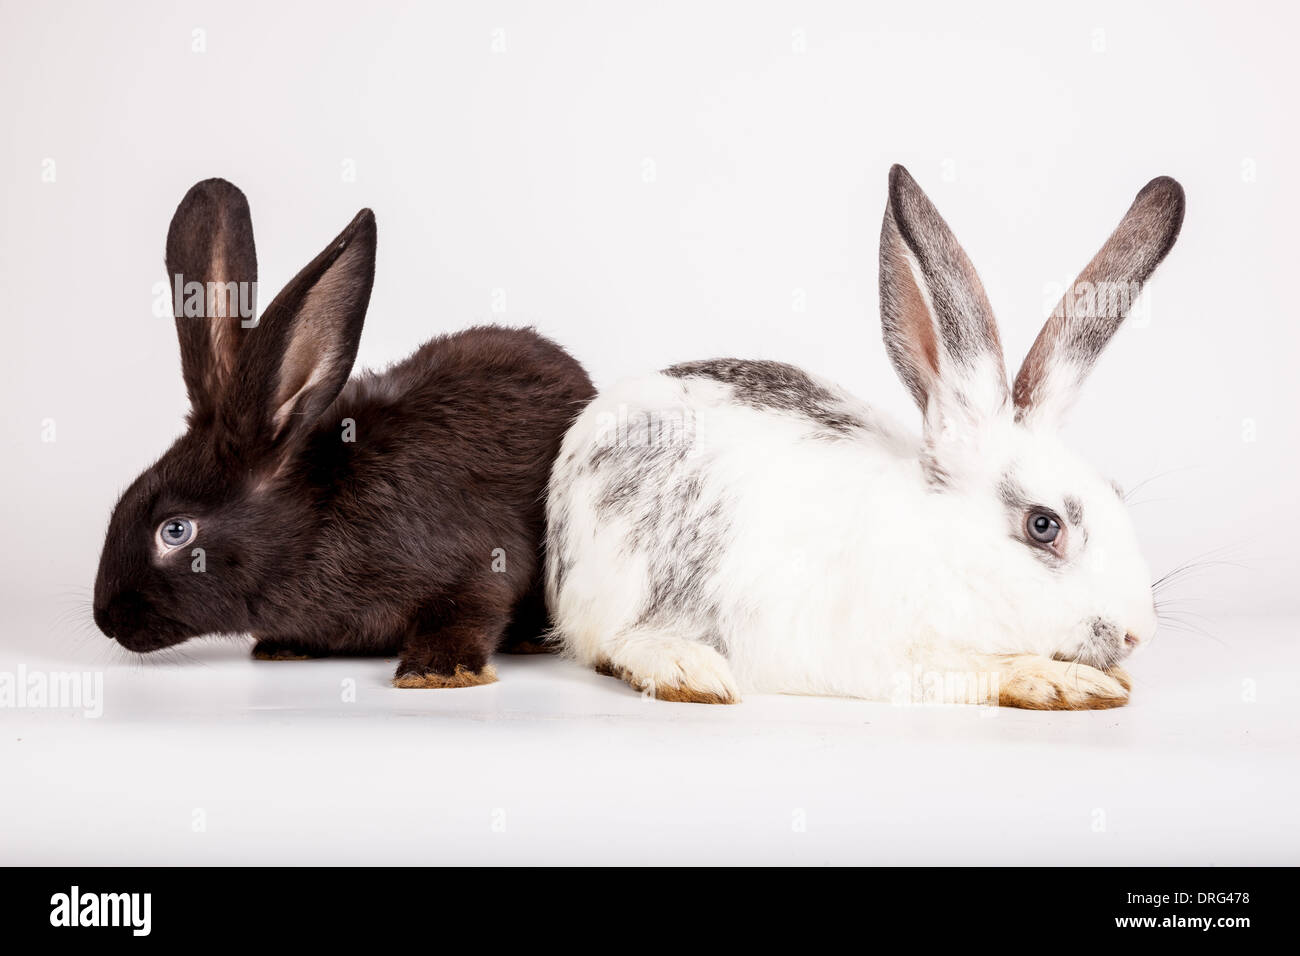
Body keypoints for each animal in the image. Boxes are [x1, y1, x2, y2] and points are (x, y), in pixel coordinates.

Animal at [93, 178, 595, 687]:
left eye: (176, 530)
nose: (106, 620)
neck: (313, 523)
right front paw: (283, 647)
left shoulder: (477, 567)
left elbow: (468, 613)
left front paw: (435, 672)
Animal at [545, 165, 1184, 709]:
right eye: (1043, 526)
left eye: (1117, 494)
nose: (1139, 633)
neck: (942, 546)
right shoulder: (889, 655)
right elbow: (976, 669)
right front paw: (1063, 682)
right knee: (608, 644)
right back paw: (686, 669)